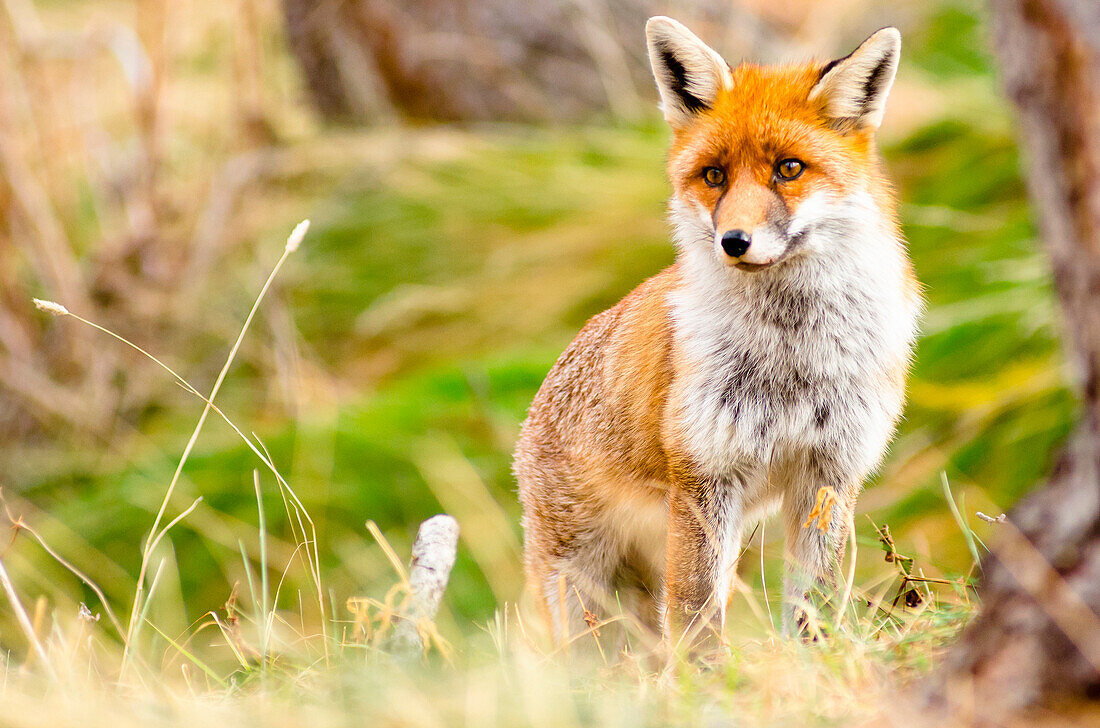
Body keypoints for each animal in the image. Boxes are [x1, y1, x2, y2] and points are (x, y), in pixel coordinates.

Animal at [512, 15, 919, 646]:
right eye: (714, 176)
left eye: (789, 168)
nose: (734, 241)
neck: (790, 354)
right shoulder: (705, 473)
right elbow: (696, 614)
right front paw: (705, 671)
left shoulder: (829, 471)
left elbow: (815, 602)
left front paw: (812, 659)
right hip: (580, 587)